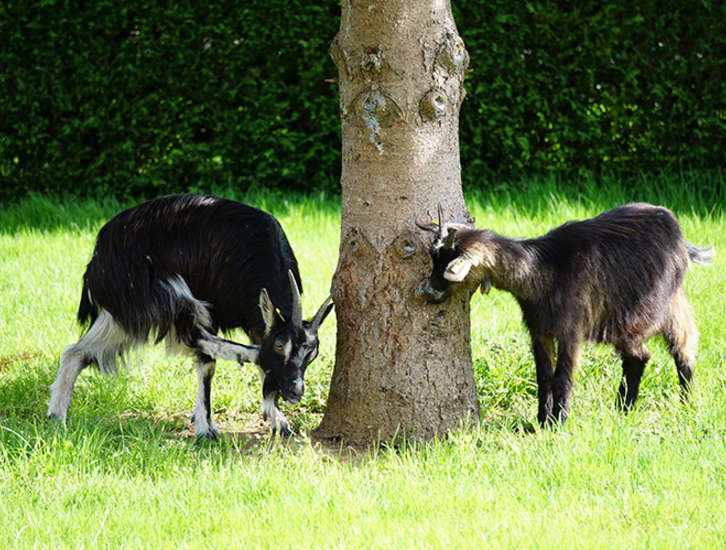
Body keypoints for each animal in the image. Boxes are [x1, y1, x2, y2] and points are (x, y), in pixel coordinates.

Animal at [47, 194, 336, 440]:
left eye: (312, 355)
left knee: (76, 352)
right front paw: (205, 428)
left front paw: (276, 417)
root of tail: (98, 254)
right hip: (157, 295)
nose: (295, 391)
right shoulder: (212, 308)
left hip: (121, 312)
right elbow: (209, 362)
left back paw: (56, 417)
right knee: (190, 333)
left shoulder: (253, 319)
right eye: (280, 346)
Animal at [420, 205, 716, 424]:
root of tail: (677, 232)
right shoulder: (539, 331)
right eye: (433, 258)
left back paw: (687, 404)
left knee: (682, 349)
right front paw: (541, 422)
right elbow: (543, 376)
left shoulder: (571, 330)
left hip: (662, 304)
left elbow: (562, 377)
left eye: (448, 264)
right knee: (639, 357)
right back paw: (624, 410)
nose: (427, 290)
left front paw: (558, 423)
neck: (545, 270)